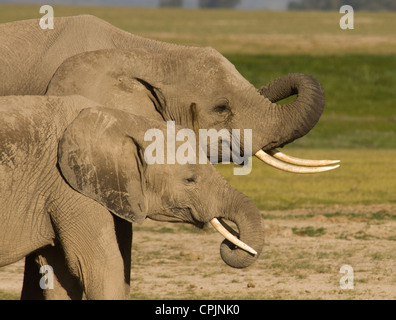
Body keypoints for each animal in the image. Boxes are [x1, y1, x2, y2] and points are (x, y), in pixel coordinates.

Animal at [0, 95, 266, 300]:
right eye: (190, 180)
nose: (232, 243)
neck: (121, 122)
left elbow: (59, 275)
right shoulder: (70, 188)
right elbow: (100, 267)